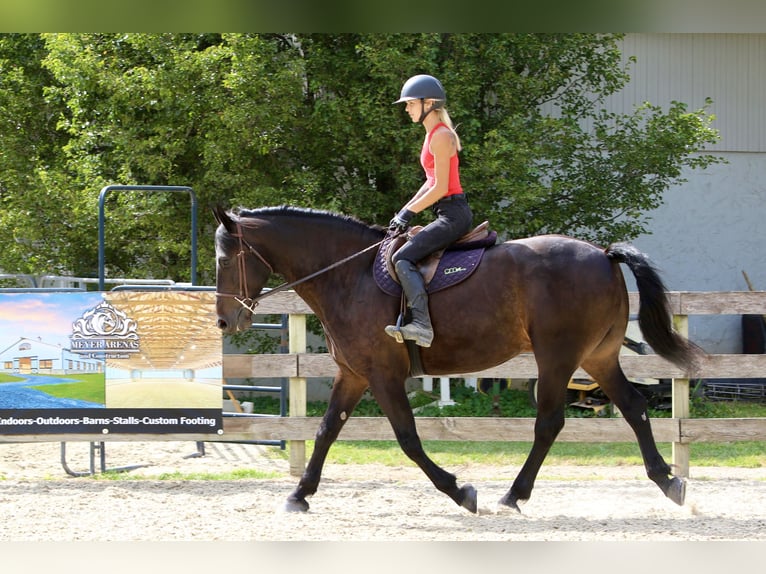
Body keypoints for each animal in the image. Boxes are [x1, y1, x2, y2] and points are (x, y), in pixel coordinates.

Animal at [213, 205, 701, 514]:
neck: (349, 275)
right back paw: (668, 482)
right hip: (598, 356)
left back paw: (514, 495)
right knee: (634, 407)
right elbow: (326, 430)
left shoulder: (382, 374)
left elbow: (408, 439)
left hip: (557, 358)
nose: (224, 320)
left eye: (225, 259)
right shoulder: (353, 373)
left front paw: (460, 491)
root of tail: (602, 254)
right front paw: (300, 494)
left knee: (550, 423)